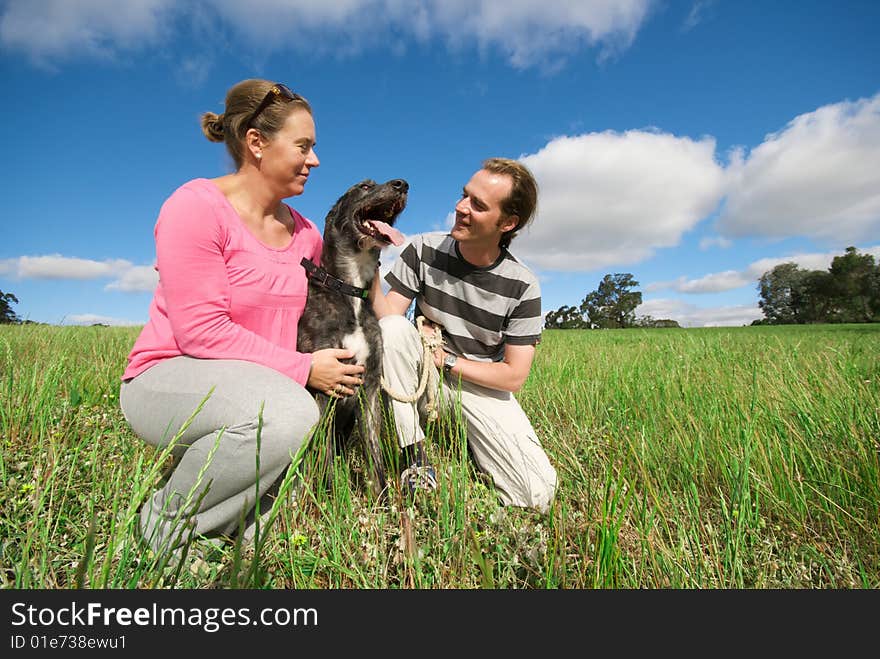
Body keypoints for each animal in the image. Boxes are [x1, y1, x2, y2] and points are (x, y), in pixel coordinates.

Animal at [296, 178, 406, 498]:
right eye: (364, 186)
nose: (402, 184)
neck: (350, 290)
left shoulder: (369, 387)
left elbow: (375, 454)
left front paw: (382, 500)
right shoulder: (324, 388)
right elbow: (324, 457)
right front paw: (329, 499)